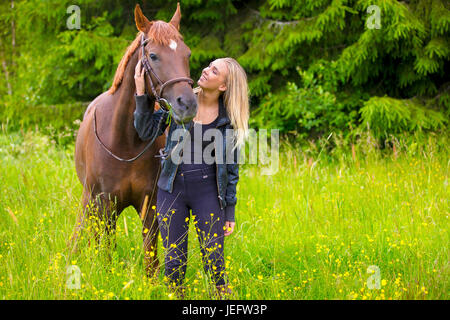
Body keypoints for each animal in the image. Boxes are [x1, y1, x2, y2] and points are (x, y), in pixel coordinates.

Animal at [71, 3, 197, 278]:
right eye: (154, 56)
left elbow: (151, 260)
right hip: (90, 201)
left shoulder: (150, 207)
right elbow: (106, 251)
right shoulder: (106, 205)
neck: (125, 142)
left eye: (187, 54)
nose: (188, 104)